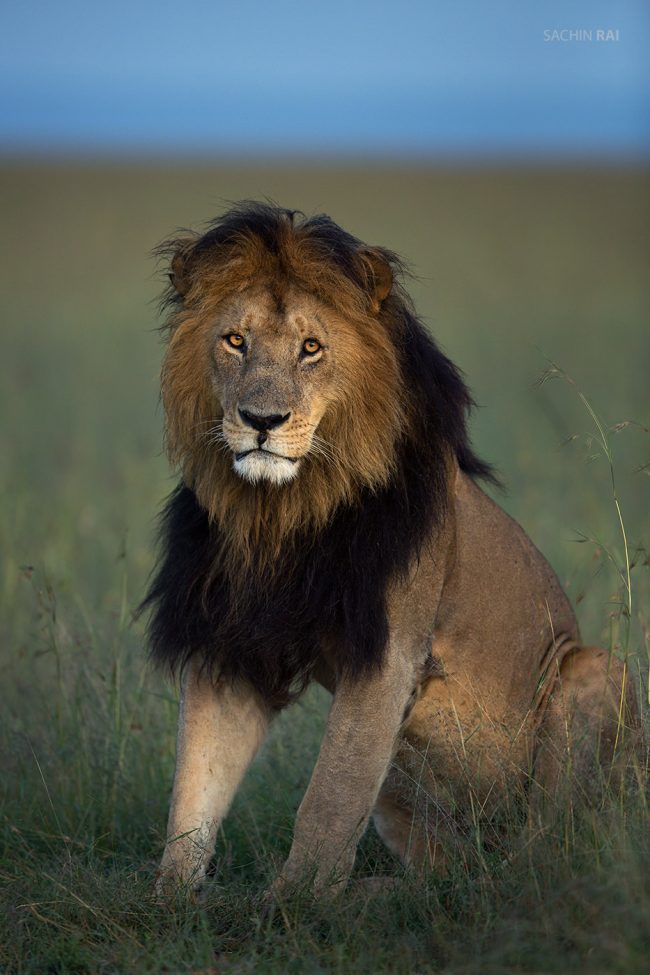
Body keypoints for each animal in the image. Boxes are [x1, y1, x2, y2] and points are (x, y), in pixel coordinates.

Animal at [143, 202, 639, 899]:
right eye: (235, 341)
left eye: (311, 348)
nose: (261, 420)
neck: (282, 512)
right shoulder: (235, 645)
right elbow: (194, 787)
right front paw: (169, 903)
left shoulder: (389, 654)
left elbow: (329, 797)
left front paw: (291, 907)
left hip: (594, 671)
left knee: (542, 851)